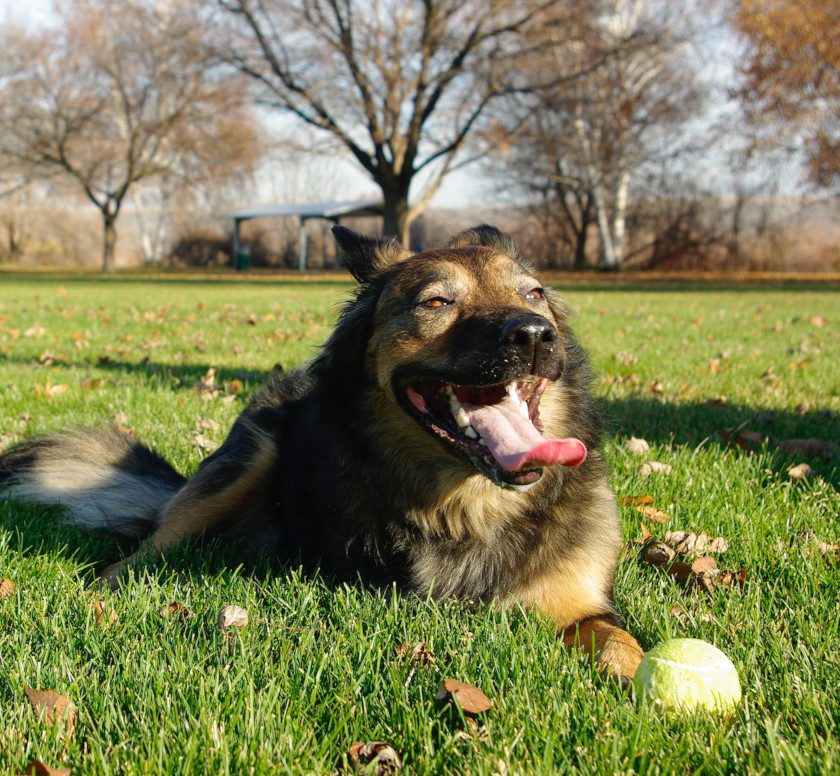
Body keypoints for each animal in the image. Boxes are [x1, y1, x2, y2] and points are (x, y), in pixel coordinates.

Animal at [0, 226, 644, 680]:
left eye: (533, 293)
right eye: (437, 302)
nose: (535, 333)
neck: (467, 509)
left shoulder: (580, 601)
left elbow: (622, 641)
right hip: (245, 460)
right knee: (139, 553)